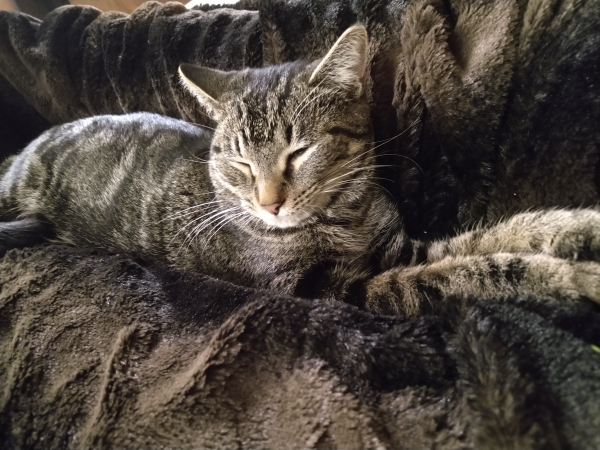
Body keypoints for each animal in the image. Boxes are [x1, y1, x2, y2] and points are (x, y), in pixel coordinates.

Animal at [1, 26, 600, 314]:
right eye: (240, 161)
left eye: (299, 151)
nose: (270, 202)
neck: (346, 212)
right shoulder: (331, 290)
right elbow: (459, 273)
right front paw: (569, 276)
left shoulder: (398, 247)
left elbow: (491, 237)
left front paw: (576, 231)